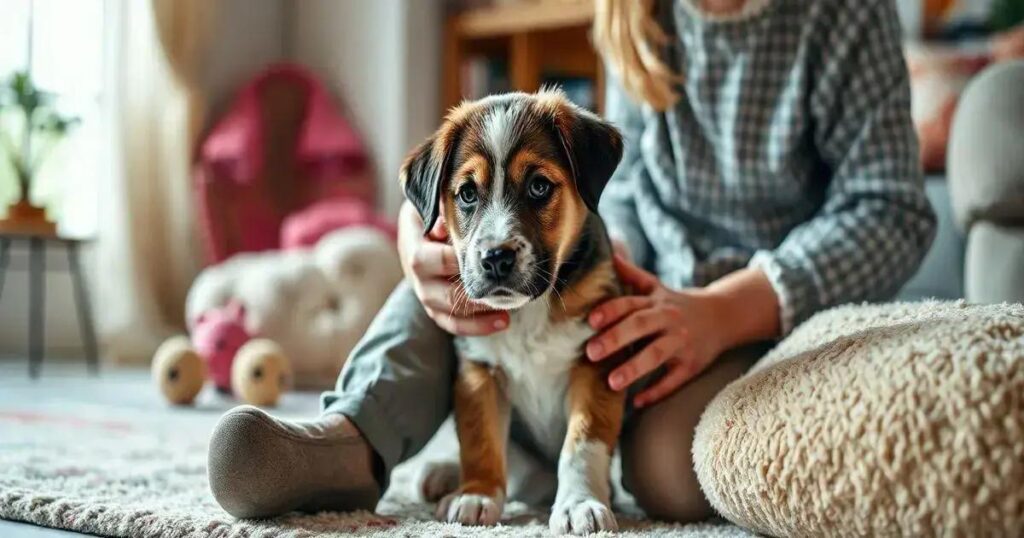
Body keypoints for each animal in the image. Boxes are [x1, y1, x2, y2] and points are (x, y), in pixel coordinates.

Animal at [399, 88, 622, 532]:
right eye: (467, 193)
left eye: (539, 186)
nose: (495, 258)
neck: (529, 312)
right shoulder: (478, 371)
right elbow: (480, 438)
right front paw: (477, 495)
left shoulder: (596, 360)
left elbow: (582, 444)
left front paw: (579, 504)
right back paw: (440, 473)